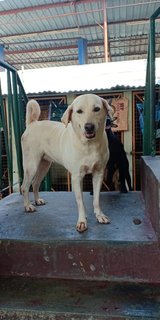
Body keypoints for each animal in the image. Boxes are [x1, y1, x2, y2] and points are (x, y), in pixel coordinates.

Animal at [21, 94, 113, 231]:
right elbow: (80, 201)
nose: (89, 127)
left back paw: (37, 201)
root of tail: (32, 123)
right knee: (24, 186)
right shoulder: (76, 176)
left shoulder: (99, 173)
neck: (89, 145)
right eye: (79, 111)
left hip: (44, 165)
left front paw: (99, 215)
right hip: (31, 165)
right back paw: (27, 206)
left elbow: (96, 199)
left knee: (35, 183)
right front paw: (82, 221)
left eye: (96, 109)